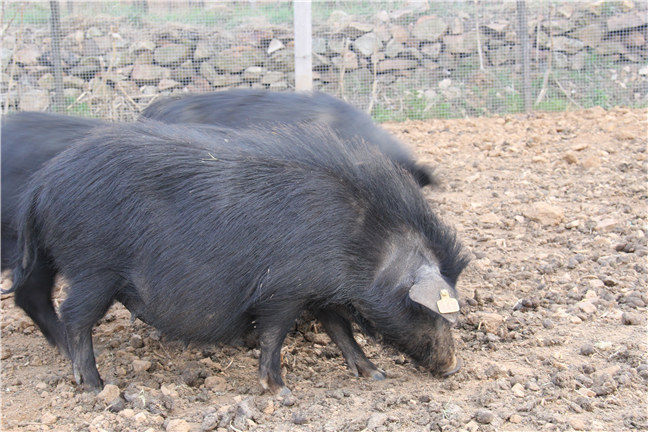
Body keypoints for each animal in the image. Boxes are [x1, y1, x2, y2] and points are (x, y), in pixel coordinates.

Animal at [10, 120, 466, 394]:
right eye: (430, 310)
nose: (452, 367)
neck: (364, 245)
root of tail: (41, 184)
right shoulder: (284, 288)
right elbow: (274, 334)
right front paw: (280, 390)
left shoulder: (322, 292)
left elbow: (341, 331)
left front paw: (376, 374)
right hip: (93, 267)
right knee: (74, 316)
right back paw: (96, 386)